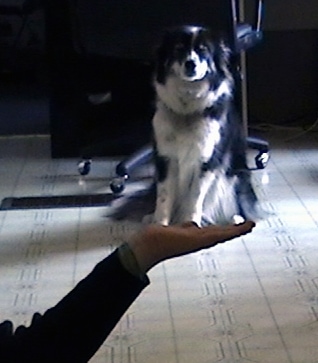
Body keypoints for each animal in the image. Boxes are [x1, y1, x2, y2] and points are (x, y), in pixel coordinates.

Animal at [152, 24, 264, 226]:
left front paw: (191, 224)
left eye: (203, 50)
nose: (191, 63)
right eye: (179, 48)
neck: (186, 111)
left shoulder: (207, 159)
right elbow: (163, 196)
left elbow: (195, 196)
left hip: (236, 175)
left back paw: (235, 219)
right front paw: (159, 225)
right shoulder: (165, 157)